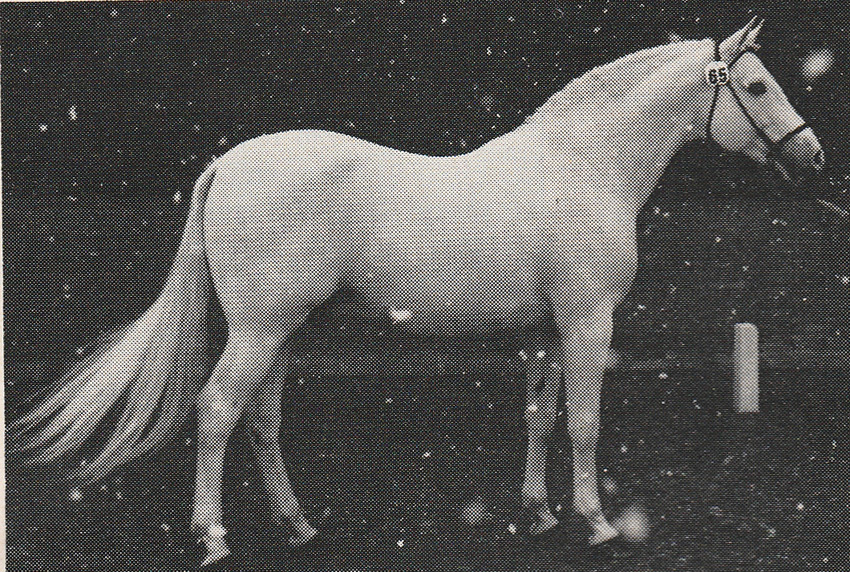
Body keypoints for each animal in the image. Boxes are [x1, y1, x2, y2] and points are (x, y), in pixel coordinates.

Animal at [10, 18, 824, 569]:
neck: (584, 167)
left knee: (262, 421)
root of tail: (228, 164)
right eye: (756, 85)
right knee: (217, 412)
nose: (813, 155)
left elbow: (540, 417)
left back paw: (299, 526)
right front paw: (595, 522)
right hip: (258, 333)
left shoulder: (547, 329)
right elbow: (585, 424)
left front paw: (539, 516)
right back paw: (214, 538)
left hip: (276, 333)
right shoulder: (588, 323)